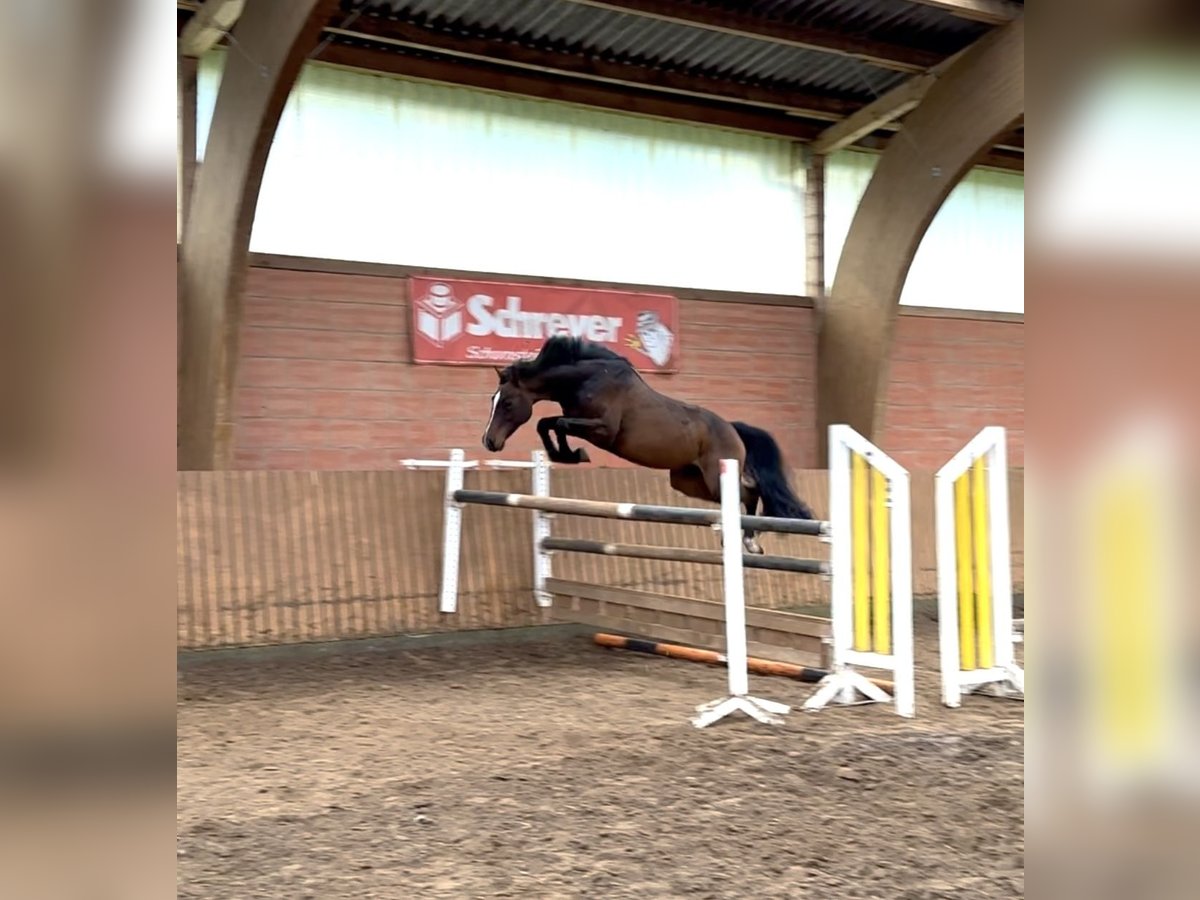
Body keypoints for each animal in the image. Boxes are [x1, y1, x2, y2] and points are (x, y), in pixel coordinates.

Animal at [480, 336, 816, 554]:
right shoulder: (577, 419)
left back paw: (749, 540)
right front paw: (566, 454)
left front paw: (575, 454)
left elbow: (558, 424)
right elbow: (546, 423)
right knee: (742, 494)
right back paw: (739, 537)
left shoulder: (603, 430)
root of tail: (732, 428)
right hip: (687, 481)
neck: (586, 378)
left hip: (713, 476)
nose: (489, 442)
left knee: (749, 492)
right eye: (493, 400)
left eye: (507, 403)